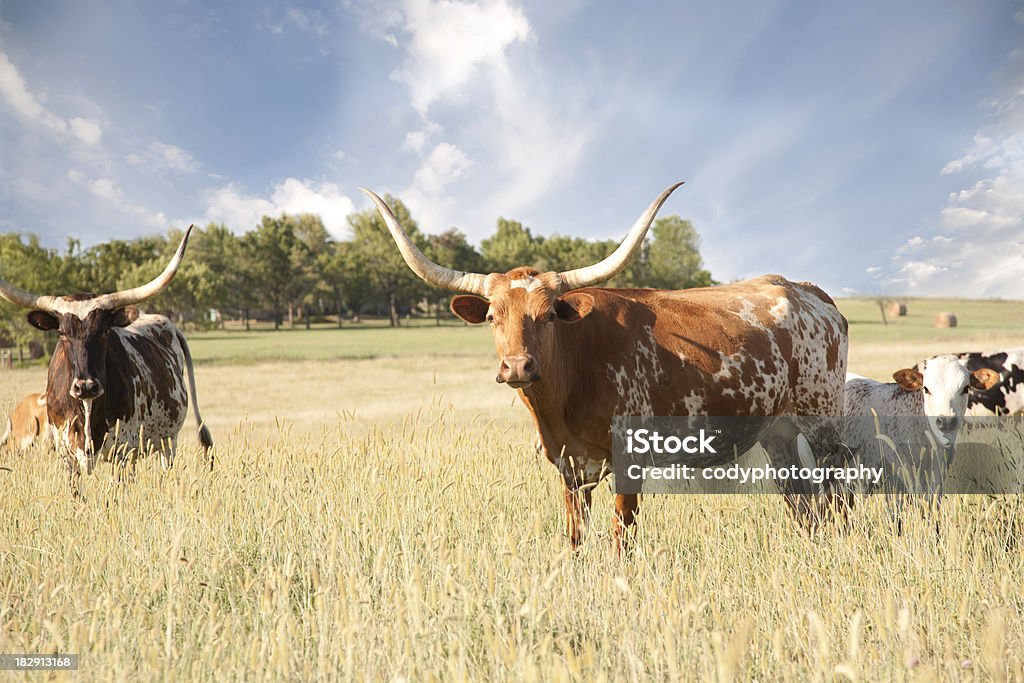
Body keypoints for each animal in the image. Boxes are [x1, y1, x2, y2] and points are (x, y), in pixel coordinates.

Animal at [0, 228, 212, 491]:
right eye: (62, 333)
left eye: (104, 331)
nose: (86, 387)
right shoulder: (66, 454)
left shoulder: (121, 451)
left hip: (167, 441)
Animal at [364, 183, 851, 548]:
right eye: (491, 317)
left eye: (548, 314)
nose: (517, 366)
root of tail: (806, 291)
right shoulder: (569, 467)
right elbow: (575, 536)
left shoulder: (629, 460)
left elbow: (622, 534)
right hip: (778, 432)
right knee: (800, 500)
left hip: (822, 420)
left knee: (836, 487)